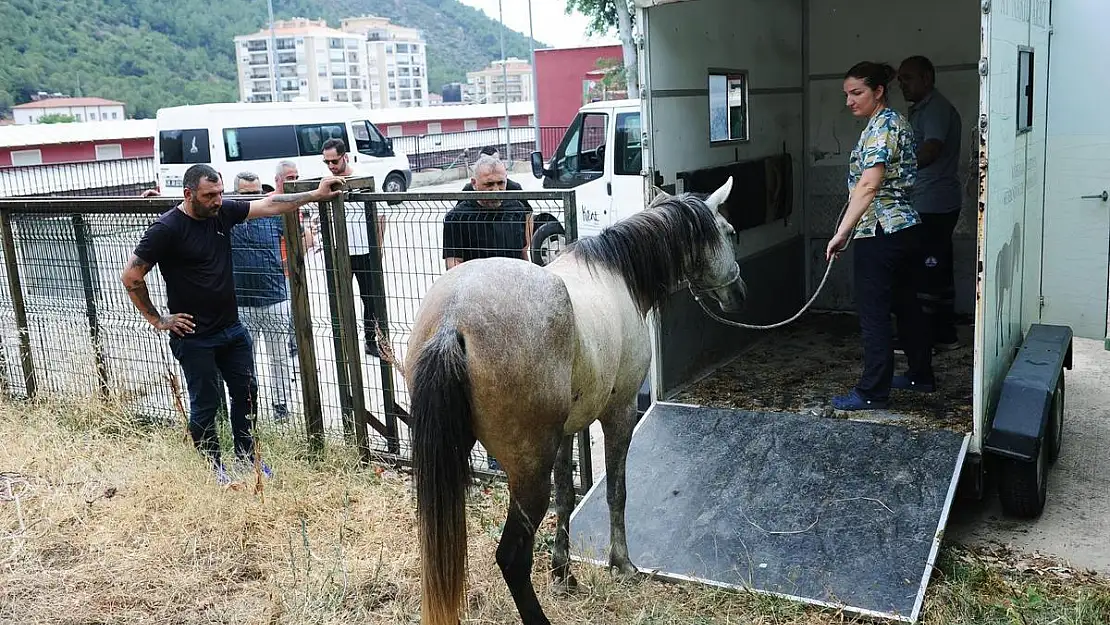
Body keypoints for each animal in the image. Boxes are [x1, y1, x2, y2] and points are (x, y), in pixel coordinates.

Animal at [406, 175, 745, 625]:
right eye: (730, 232)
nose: (739, 294)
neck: (617, 274)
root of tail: (453, 318)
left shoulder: (566, 432)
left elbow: (568, 496)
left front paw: (563, 573)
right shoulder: (620, 414)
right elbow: (616, 492)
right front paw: (622, 564)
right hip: (528, 473)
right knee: (512, 557)